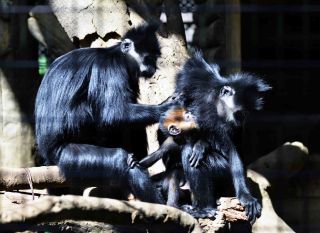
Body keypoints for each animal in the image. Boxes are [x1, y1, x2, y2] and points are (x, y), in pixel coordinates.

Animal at [34, 22, 171, 203]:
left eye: (155, 58)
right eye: (148, 57)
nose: (153, 67)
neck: (119, 55)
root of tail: (48, 153)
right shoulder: (109, 67)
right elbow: (112, 113)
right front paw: (166, 107)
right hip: (68, 152)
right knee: (120, 158)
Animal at [175, 52, 270, 223]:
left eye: (244, 115)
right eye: (240, 113)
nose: (241, 120)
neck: (215, 106)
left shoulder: (233, 128)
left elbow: (234, 152)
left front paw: (245, 196)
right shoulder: (201, 80)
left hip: (224, 175)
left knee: (192, 153)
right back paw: (202, 209)